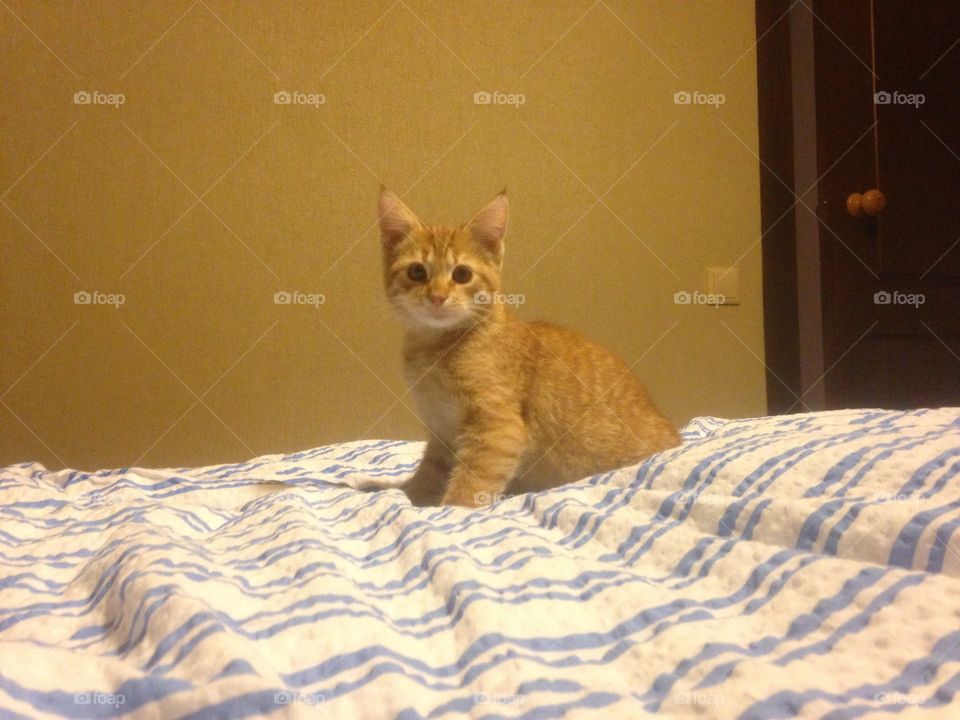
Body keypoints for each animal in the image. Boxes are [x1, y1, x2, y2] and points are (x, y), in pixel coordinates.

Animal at [378, 188, 680, 510]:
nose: (437, 297)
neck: (434, 347)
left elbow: (470, 486)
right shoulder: (440, 433)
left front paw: (450, 509)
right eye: (416, 272)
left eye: (461, 274)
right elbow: (426, 477)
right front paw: (404, 495)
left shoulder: (497, 428)